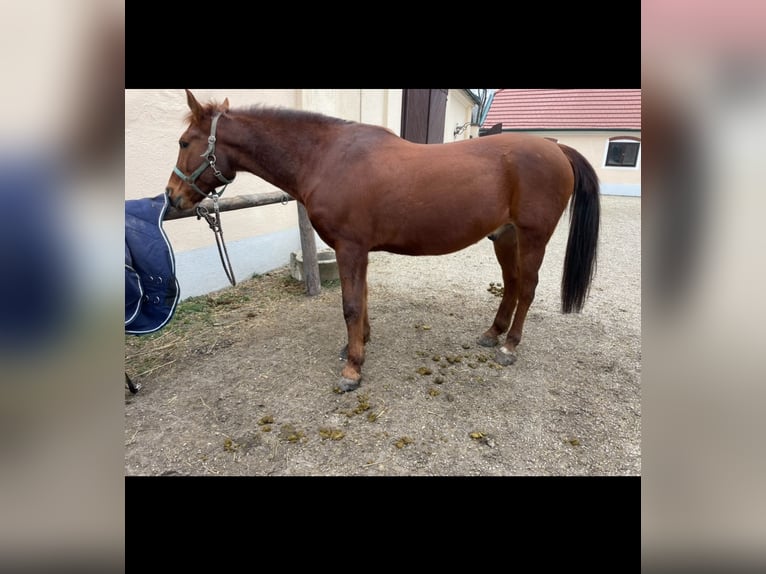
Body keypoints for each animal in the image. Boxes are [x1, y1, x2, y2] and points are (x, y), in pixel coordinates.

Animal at [166, 91, 600, 396]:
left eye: (185, 142)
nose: (172, 197)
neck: (326, 157)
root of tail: (556, 147)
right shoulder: (358, 251)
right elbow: (363, 299)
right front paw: (357, 346)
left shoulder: (350, 247)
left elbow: (351, 305)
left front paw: (352, 370)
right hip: (504, 237)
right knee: (510, 285)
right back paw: (492, 334)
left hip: (532, 237)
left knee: (526, 287)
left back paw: (509, 346)